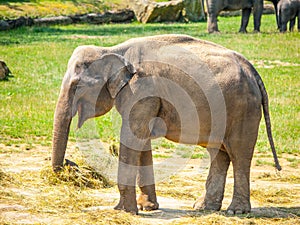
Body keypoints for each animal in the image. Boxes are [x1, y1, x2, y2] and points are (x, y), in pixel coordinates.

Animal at [52, 34, 282, 215]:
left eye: (77, 85)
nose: (69, 164)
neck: (112, 50)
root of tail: (253, 71)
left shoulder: (142, 90)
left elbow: (132, 139)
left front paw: (124, 210)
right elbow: (141, 142)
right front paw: (146, 208)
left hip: (242, 108)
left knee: (239, 154)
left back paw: (236, 211)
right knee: (220, 153)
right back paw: (204, 207)